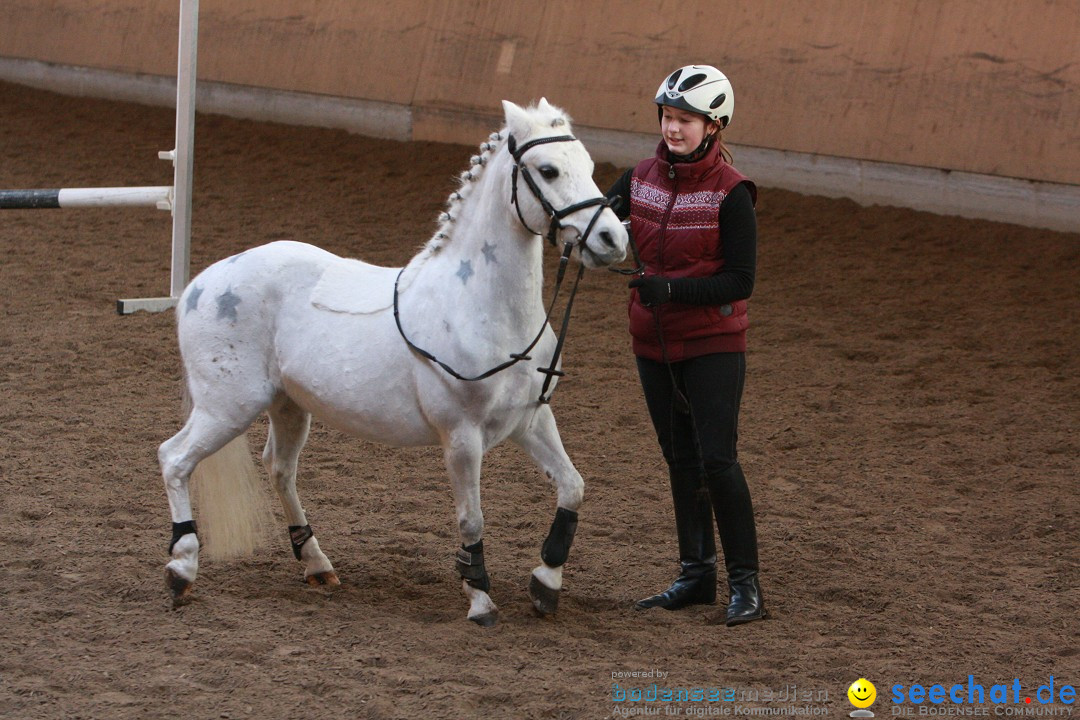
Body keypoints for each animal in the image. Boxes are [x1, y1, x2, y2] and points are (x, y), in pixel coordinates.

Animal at [156, 98, 630, 626]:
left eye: (589, 165)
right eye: (548, 170)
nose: (612, 240)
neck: (483, 307)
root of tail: (201, 283)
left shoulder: (530, 421)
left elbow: (572, 486)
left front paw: (545, 583)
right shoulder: (461, 437)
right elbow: (472, 519)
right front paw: (480, 599)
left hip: (288, 406)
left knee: (279, 468)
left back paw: (317, 565)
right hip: (228, 407)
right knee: (174, 458)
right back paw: (181, 570)